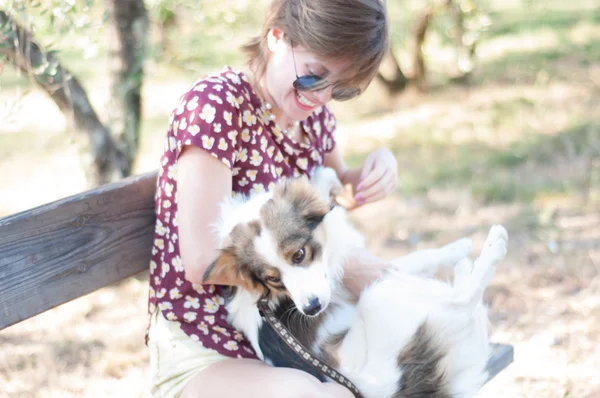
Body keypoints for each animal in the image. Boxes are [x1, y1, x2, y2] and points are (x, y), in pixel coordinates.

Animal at [203, 166, 506, 396]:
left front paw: (330, 182)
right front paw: (456, 249)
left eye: (299, 254)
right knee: (463, 300)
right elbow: (413, 259)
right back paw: (491, 246)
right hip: (380, 298)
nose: (312, 309)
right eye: (273, 279)